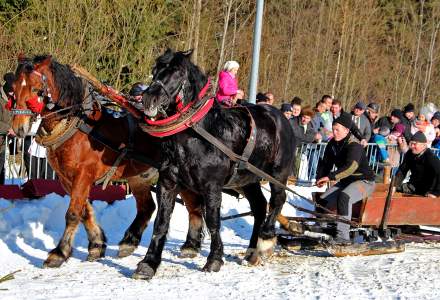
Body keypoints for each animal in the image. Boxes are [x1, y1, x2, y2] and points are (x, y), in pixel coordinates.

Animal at [9, 55, 203, 268]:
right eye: (14, 88)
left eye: (37, 90)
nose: (18, 128)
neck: (76, 123)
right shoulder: (66, 179)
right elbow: (84, 211)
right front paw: (96, 243)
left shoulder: (83, 175)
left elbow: (73, 214)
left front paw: (59, 253)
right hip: (140, 175)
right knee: (147, 207)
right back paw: (129, 241)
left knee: (193, 205)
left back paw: (191, 245)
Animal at [135, 48, 296, 280]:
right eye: (155, 69)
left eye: (178, 72)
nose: (149, 99)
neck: (199, 133)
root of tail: (281, 118)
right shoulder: (167, 183)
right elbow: (161, 222)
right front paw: (149, 263)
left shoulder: (212, 187)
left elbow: (213, 221)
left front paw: (214, 259)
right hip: (247, 180)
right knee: (259, 206)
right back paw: (251, 252)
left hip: (278, 173)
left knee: (277, 200)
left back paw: (265, 240)